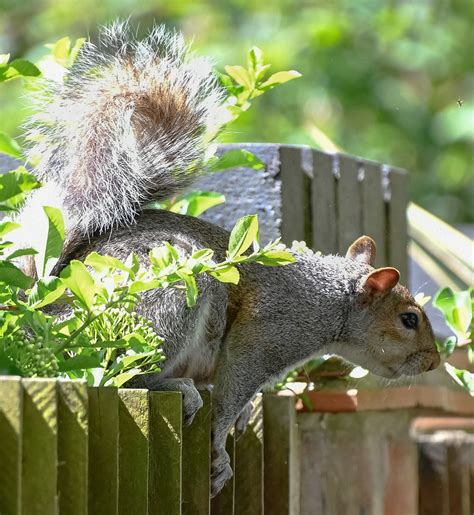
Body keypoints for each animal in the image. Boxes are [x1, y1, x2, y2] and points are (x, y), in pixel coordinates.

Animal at [17, 22, 440, 498]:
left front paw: (242, 418)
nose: (434, 362)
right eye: (409, 319)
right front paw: (220, 441)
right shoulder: (267, 335)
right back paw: (177, 387)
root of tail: (50, 308)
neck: (330, 301)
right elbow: (232, 389)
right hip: (163, 304)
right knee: (120, 376)